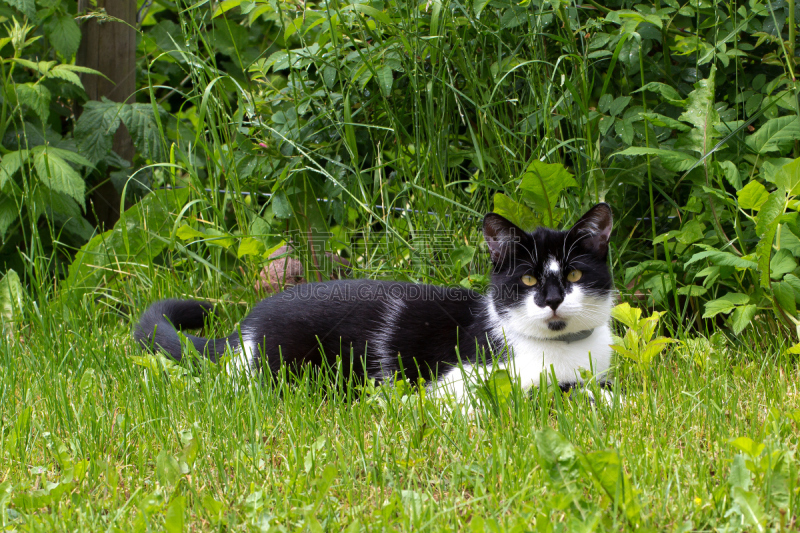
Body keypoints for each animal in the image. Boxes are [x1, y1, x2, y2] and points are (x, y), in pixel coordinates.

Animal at [134, 202, 616, 396]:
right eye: (530, 278)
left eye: (573, 274)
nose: (552, 300)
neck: (565, 351)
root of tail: (243, 330)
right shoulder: (461, 384)